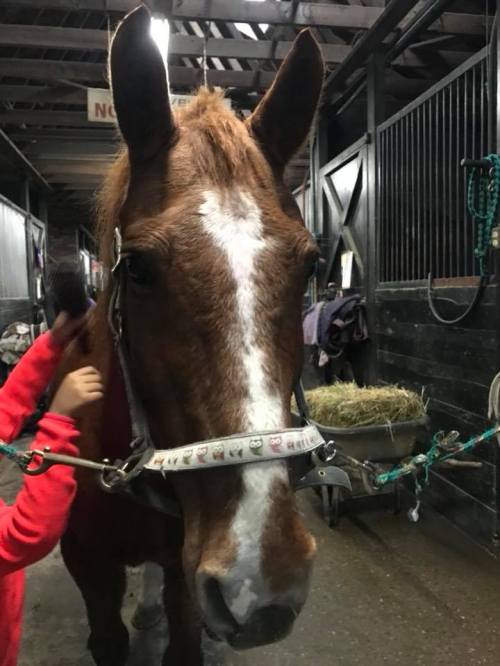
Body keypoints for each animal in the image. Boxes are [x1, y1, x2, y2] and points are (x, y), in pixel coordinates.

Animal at [58, 6, 324, 665]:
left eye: (311, 267)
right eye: (138, 269)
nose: (264, 580)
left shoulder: (187, 572)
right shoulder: (88, 568)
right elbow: (107, 638)